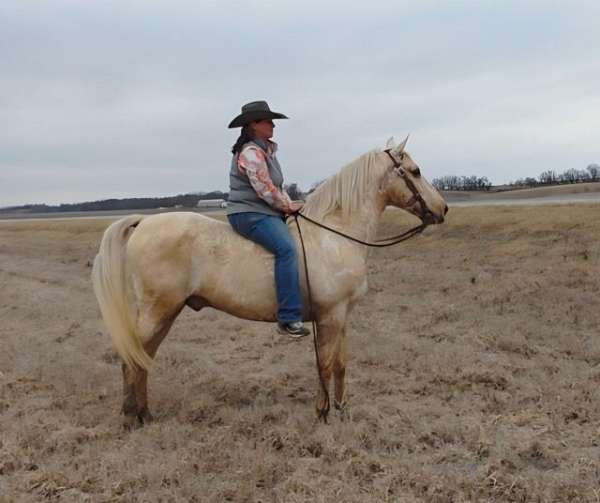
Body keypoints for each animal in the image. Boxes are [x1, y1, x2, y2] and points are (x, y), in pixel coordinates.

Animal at [92, 138, 446, 430]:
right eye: (415, 171)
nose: (442, 208)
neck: (334, 235)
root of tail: (144, 222)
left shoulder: (342, 316)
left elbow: (341, 364)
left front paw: (343, 410)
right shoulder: (330, 316)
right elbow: (325, 364)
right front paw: (323, 413)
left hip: (165, 313)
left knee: (143, 358)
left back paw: (145, 414)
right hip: (157, 311)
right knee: (131, 358)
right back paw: (130, 418)